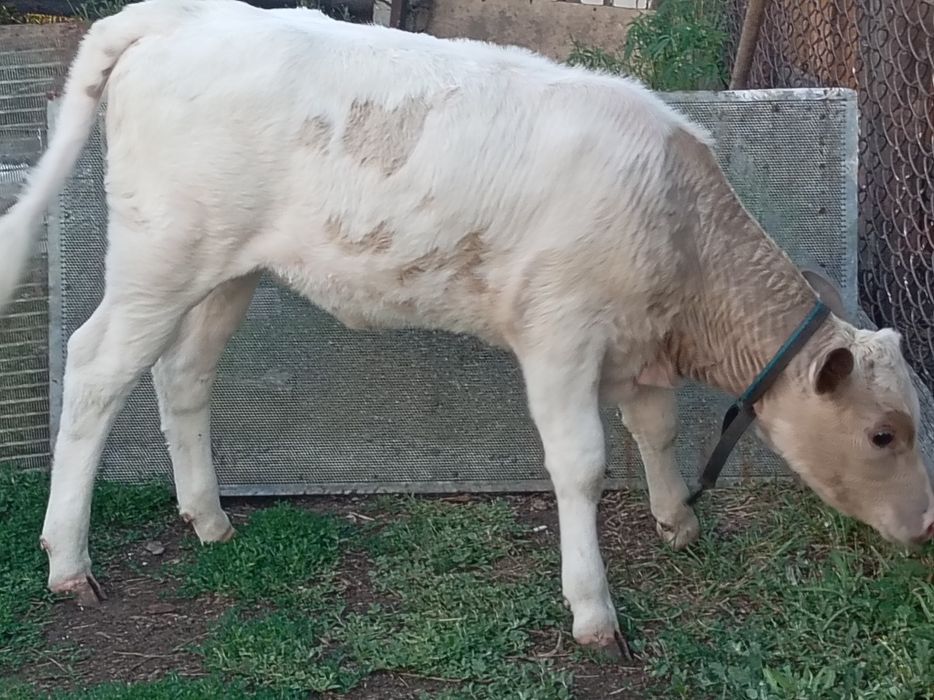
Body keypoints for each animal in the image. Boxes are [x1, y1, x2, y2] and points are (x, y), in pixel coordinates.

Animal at [0, 0, 931, 655]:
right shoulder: (559, 334)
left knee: (182, 374)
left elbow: (657, 430)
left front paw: (678, 523)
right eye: (884, 434)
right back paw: (68, 563)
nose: (924, 526)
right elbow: (582, 465)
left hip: (227, 270)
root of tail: (178, 15)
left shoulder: (635, 347)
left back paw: (210, 520)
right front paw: (594, 611)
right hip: (159, 254)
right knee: (95, 367)